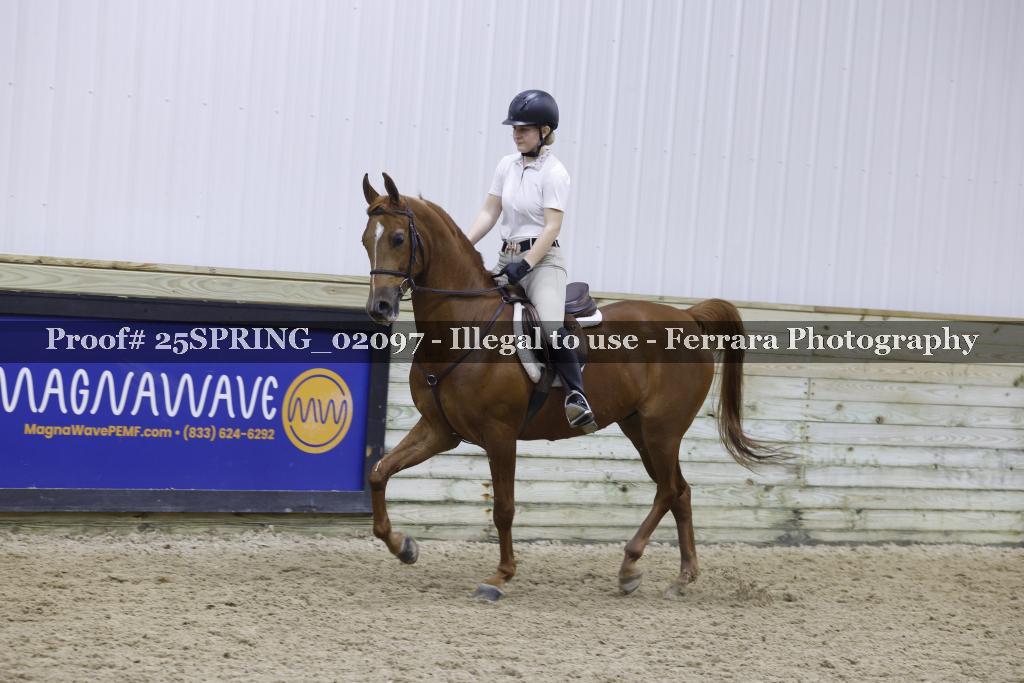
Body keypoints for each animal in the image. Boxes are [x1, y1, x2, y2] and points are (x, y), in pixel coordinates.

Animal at [360, 172, 780, 601]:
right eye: (365, 240)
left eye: (398, 238)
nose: (380, 308)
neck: (467, 325)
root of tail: (688, 317)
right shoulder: (440, 430)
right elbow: (379, 472)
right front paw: (403, 546)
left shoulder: (499, 435)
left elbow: (504, 508)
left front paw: (500, 577)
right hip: (639, 428)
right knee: (679, 490)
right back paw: (681, 577)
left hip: (662, 429)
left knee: (667, 490)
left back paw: (630, 564)